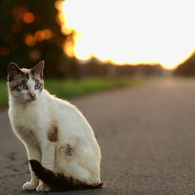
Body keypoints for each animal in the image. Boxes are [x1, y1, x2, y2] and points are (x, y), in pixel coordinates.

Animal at [6, 61, 103, 192]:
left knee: (80, 181)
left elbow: (46, 164)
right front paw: (32, 185)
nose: (33, 95)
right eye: (23, 86)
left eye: (37, 86)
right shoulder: (30, 144)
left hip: (62, 152)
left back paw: (58, 184)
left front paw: (43, 186)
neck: (24, 108)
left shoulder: (48, 140)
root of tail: (98, 180)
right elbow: (33, 169)